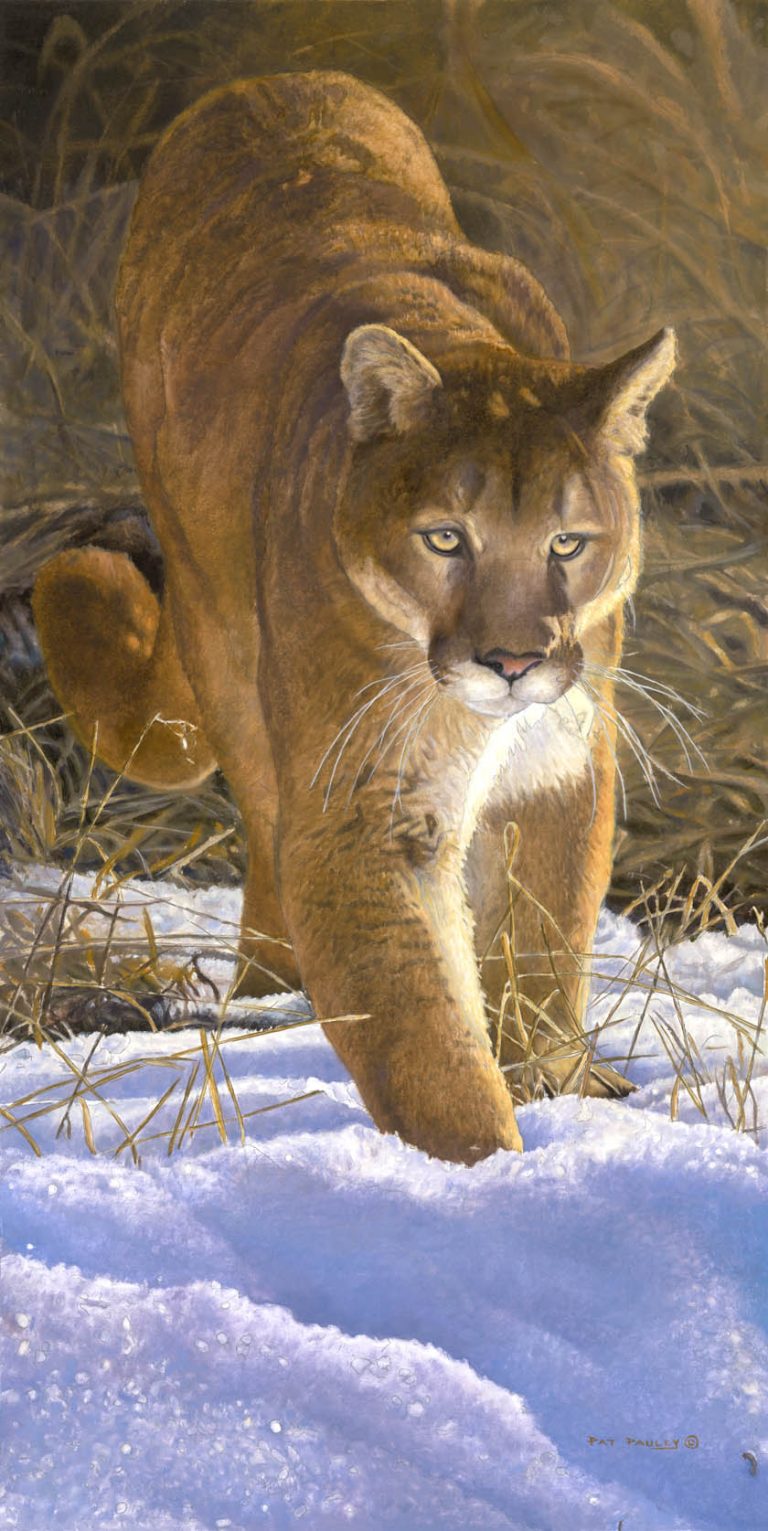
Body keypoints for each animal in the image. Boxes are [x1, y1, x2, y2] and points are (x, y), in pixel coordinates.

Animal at [33, 72, 676, 1163]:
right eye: (446, 538)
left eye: (567, 543)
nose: (513, 661)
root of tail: (269, 81)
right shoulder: (364, 805)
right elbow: (418, 1025)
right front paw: (491, 1174)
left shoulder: (557, 760)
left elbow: (542, 943)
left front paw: (558, 1091)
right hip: (221, 633)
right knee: (261, 816)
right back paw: (267, 993)